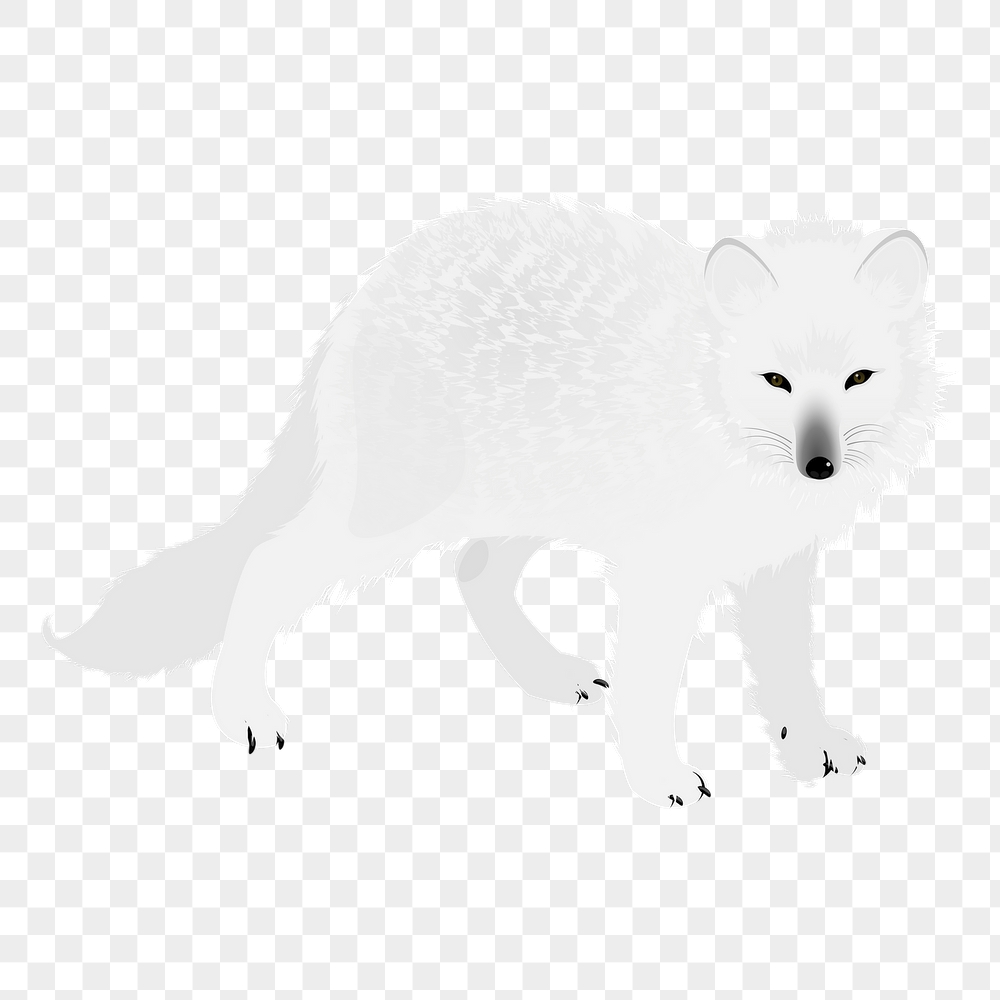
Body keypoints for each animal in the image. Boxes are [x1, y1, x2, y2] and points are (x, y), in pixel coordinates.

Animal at [43, 198, 939, 809]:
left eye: (856, 378)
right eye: (776, 380)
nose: (819, 465)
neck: (712, 412)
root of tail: (366, 294)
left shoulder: (775, 565)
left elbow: (789, 672)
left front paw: (811, 745)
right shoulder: (663, 577)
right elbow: (651, 692)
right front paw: (660, 779)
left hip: (524, 503)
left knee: (472, 573)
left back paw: (548, 674)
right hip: (396, 516)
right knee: (266, 564)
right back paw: (245, 716)